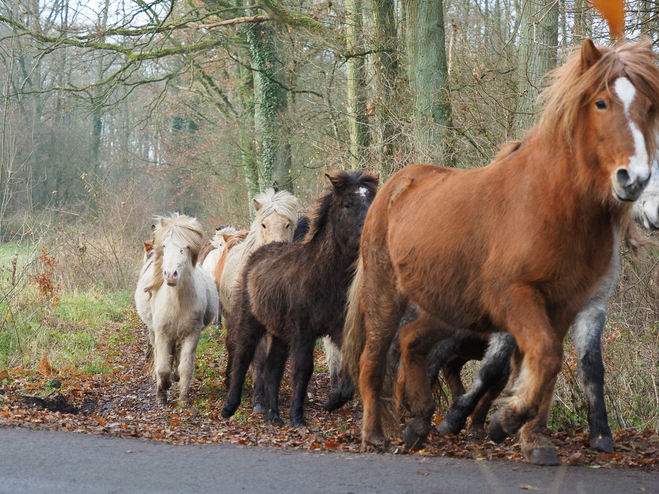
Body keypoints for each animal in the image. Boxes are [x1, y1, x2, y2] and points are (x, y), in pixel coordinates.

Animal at [136, 213, 219, 406]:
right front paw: (162, 392)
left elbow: (186, 366)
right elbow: (163, 367)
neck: (177, 300)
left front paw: (184, 397)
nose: (170, 275)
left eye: (186, 247)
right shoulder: (162, 334)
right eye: (165, 245)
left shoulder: (192, 334)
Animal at [222, 169, 376, 424]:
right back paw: (231, 406)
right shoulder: (303, 331)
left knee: (273, 368)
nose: (371, 232)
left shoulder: (338, 329)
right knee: (243, 356)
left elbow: (346, 368)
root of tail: (259, 252)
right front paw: (297, 416)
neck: (322, 276)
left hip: (278, 332)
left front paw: (333, 402)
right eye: (347, 204)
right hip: (249, 320)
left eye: (372, 201)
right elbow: (303, 369)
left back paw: (274, 415)